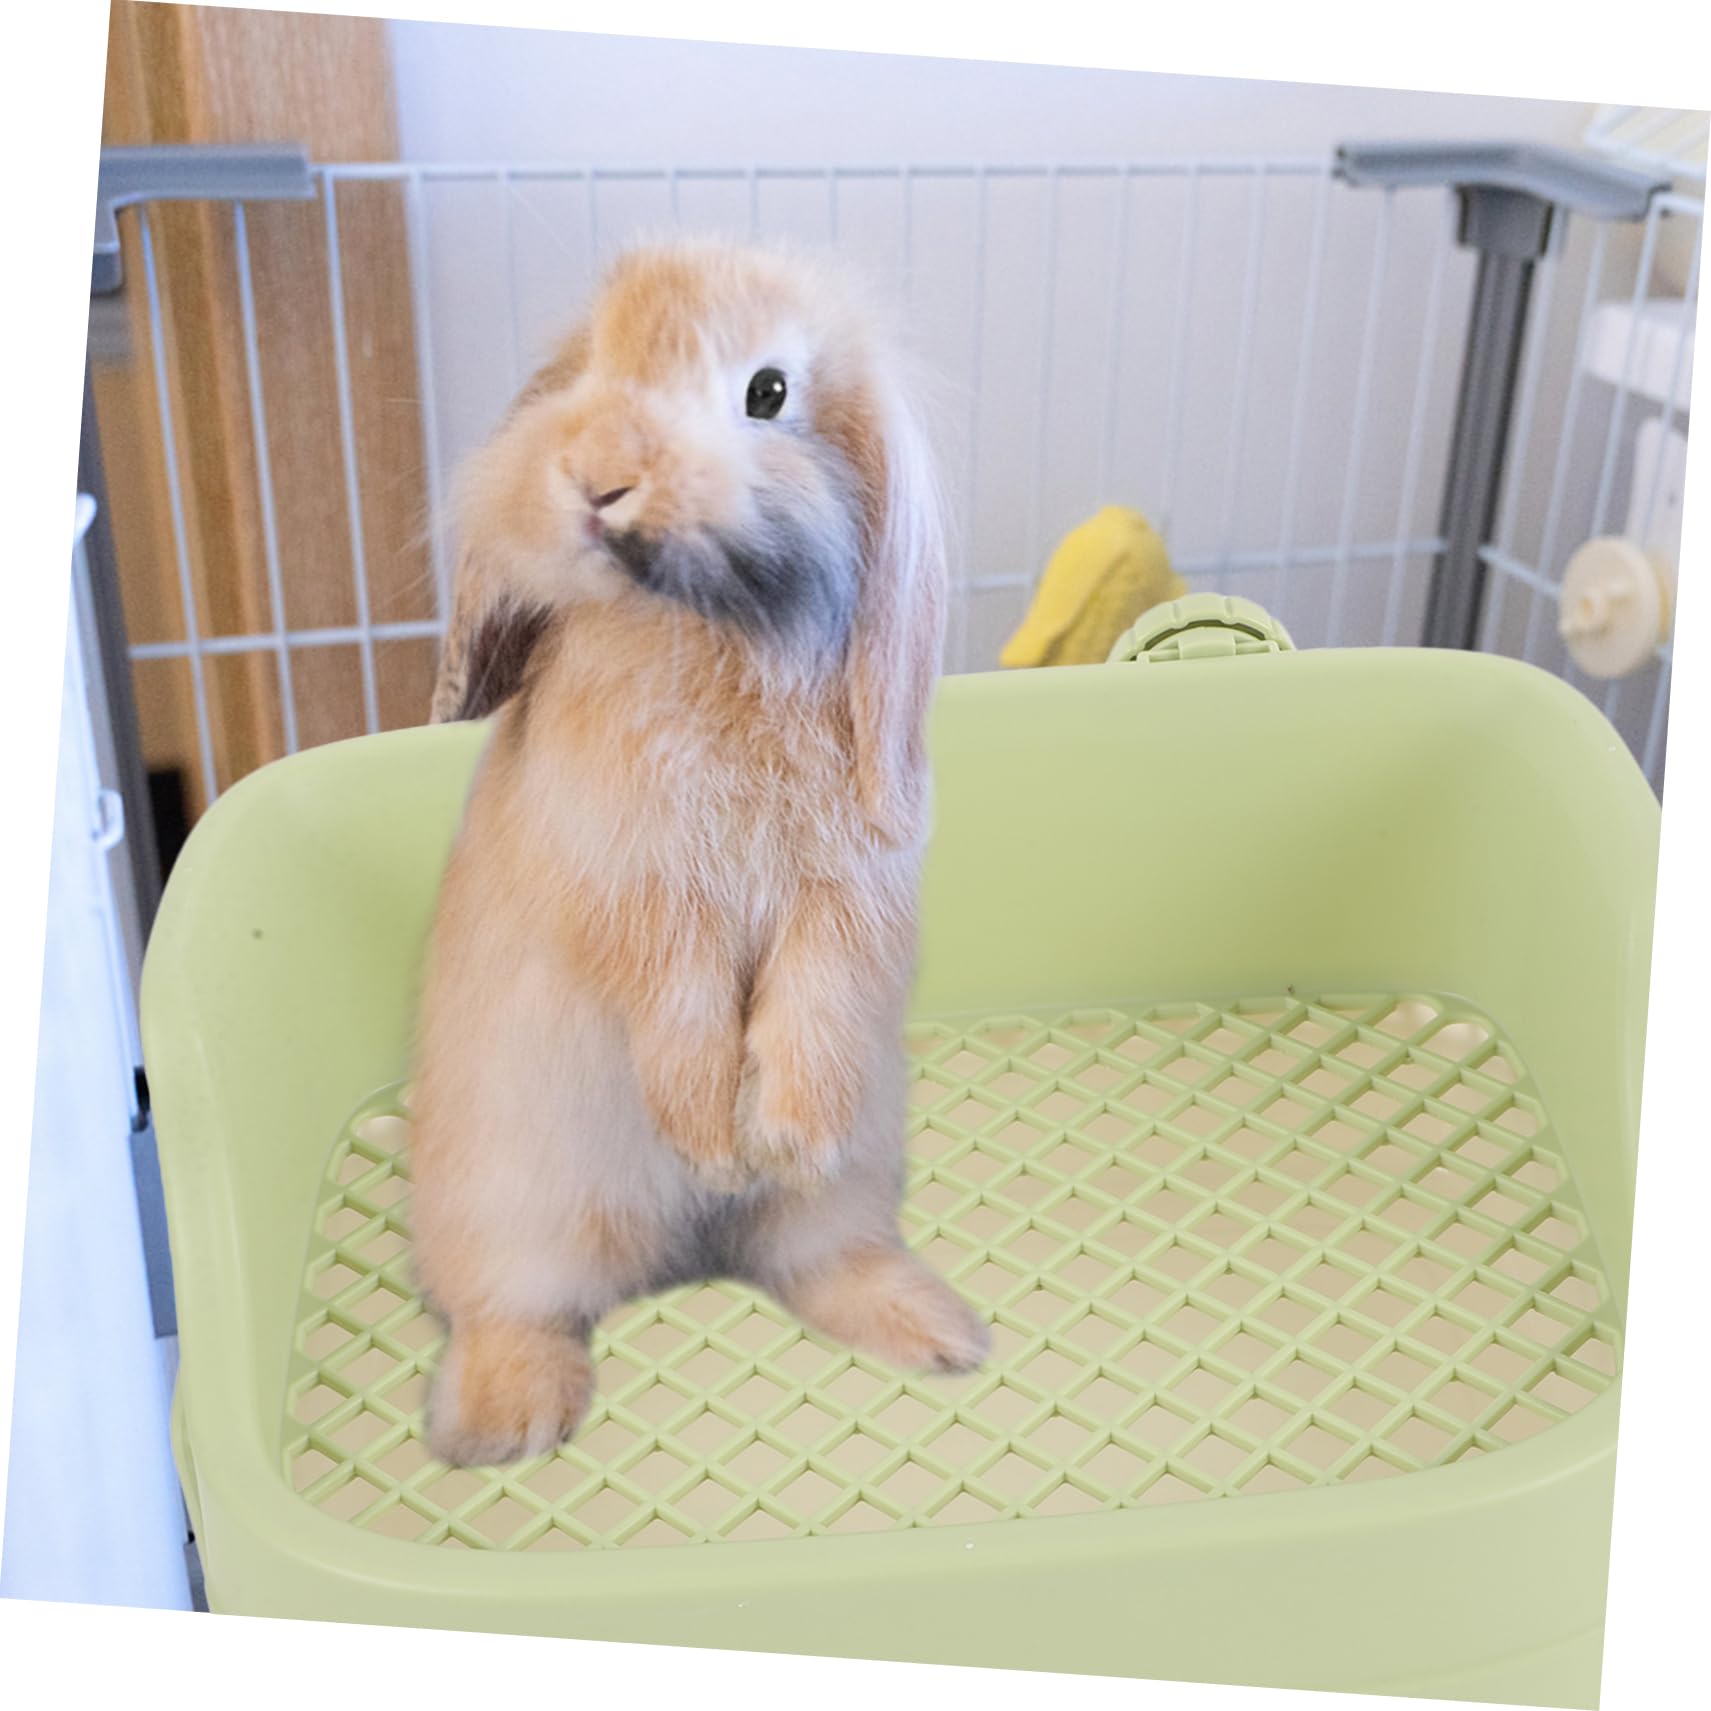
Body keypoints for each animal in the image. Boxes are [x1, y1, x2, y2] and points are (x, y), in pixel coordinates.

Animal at [411, 237, 990, 1467]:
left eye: (767, 392)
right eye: (589, 367)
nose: (597, 477)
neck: (713, 631)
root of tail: (682, 1257)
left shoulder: (846, 896)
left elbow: (811, 997)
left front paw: (772, 1135)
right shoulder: (634, 889)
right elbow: (676, 1007)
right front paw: (713, 1144)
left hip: (854, 1182)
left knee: (816, 1253)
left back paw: (935, 1329)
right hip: (515, 1203)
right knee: (508, 1305)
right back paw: (505, 1425)